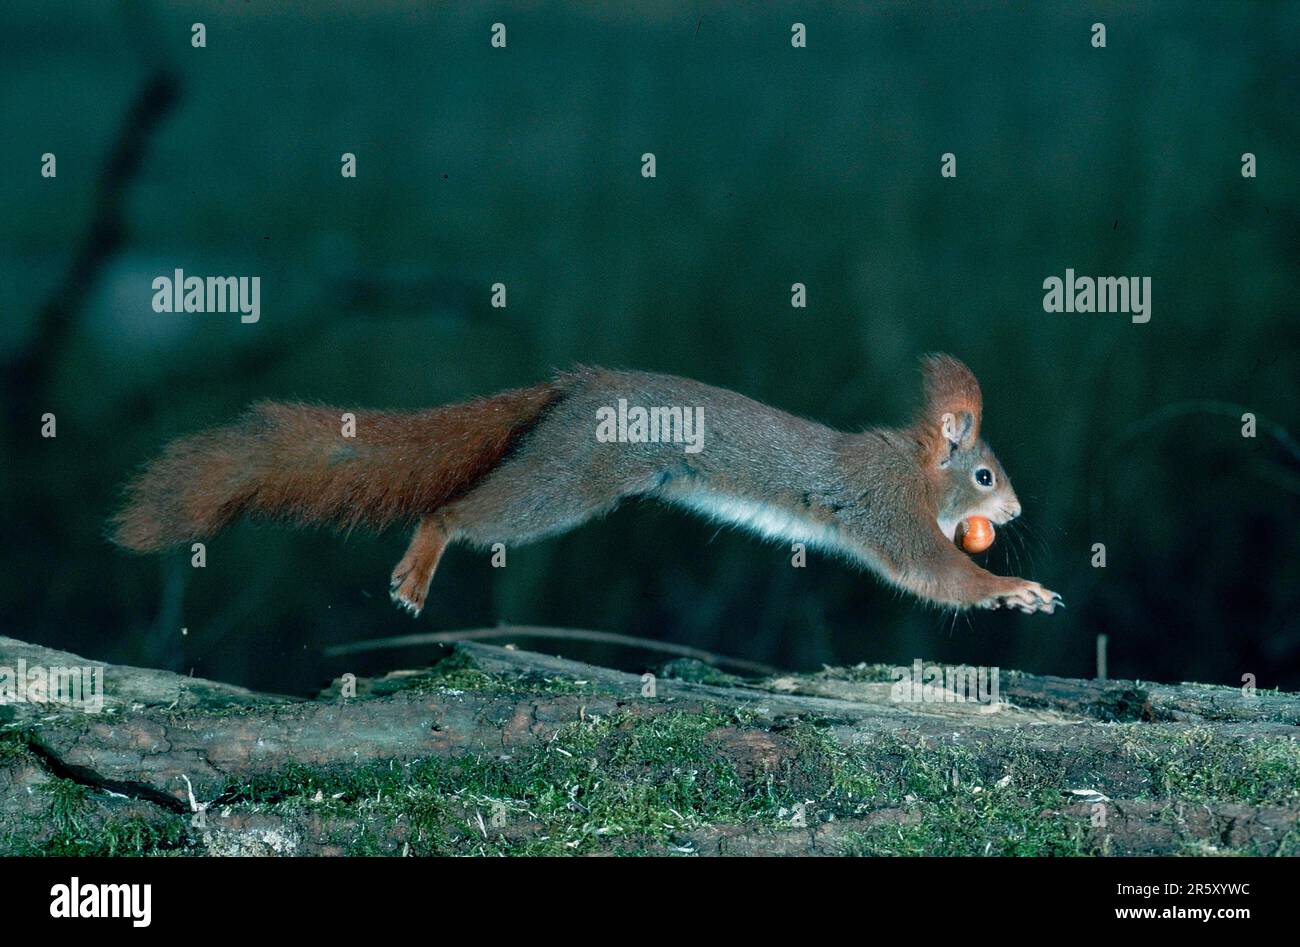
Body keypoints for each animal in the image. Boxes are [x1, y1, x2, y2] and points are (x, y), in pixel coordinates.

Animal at [111, 356, 1060, 621]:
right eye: (984, 474)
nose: (1015, 511)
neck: (914, 467)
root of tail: (574, 389)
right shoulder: (893, 515)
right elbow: (939, 576)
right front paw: (1015, 587)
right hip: (567, 482)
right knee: (454, 510)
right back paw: (419, 568)